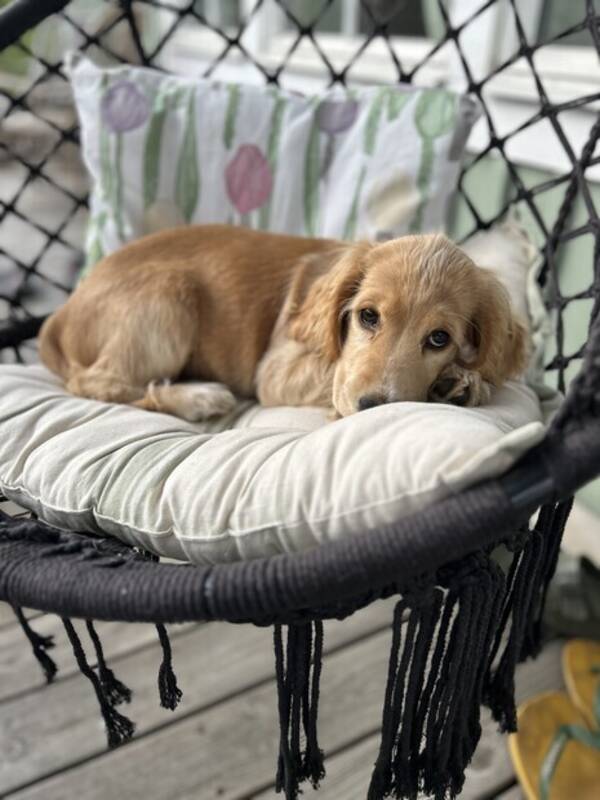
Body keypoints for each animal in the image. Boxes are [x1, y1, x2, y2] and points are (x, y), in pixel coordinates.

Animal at [38, 223, 524, 418]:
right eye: (368, 316)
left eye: (439, 338)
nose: (373, 406)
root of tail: (60, 316)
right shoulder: (273, 371)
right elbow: (331, 374)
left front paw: (461, 381)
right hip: (169, 294)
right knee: (98, 382)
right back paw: (199, 398)